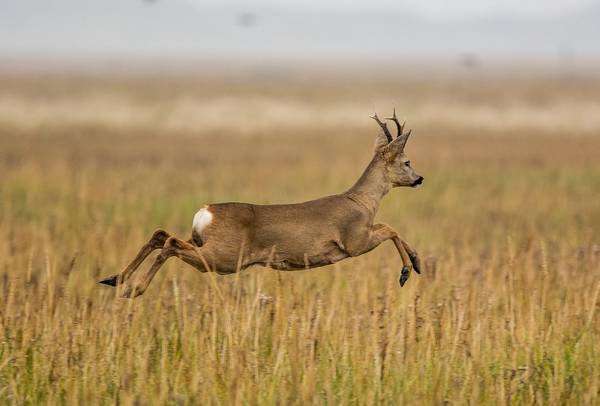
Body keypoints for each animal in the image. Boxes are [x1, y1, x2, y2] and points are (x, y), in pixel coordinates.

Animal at [98, 109, 424, 296]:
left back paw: (115, 279)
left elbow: (390, 227)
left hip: (207, 248)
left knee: (160, 235)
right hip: (223, 257)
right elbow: (391, 228)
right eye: (407, 161)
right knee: (170, 243)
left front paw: (415, 265)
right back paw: (133, 289)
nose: (420, 178)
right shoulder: (354, 241)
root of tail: (205, 211)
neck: (362, 202)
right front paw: (409, 270)